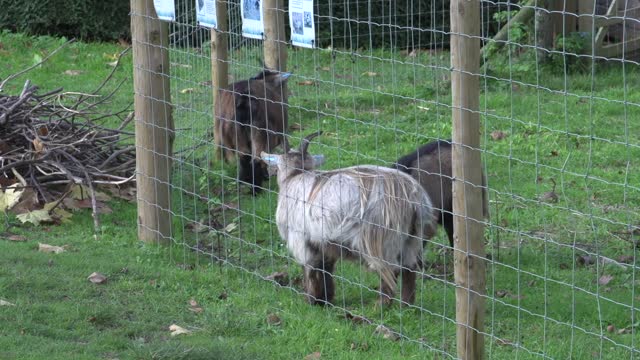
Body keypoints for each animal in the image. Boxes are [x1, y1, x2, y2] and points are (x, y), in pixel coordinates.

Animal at [262, 131, 440, 306]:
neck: (295, 176)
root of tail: (414, 199)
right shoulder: (323, 240)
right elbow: (326, 268)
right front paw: (325, 298)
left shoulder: (300, 239)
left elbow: (311, 269)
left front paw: (312, 300)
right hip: (412, 238)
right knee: (409, 269)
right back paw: (406, 306)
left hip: (379, 239)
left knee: (391, 270)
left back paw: (381, 306)